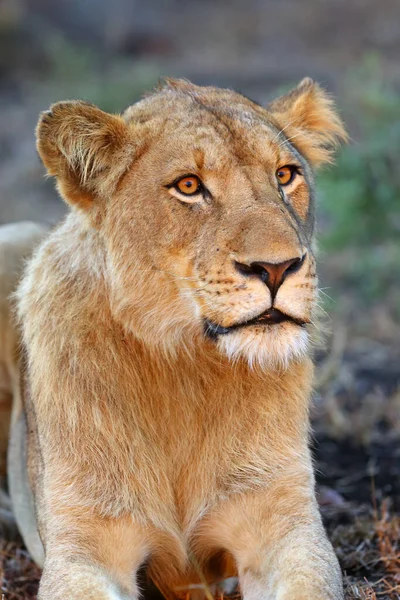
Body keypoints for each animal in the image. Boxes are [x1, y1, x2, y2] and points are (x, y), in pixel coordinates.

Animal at [7, 77, 348, 596]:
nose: (277, 268)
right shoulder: (82, 545)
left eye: (285, 175)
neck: (184, 360)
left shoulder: (284, 523)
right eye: (189, 186)